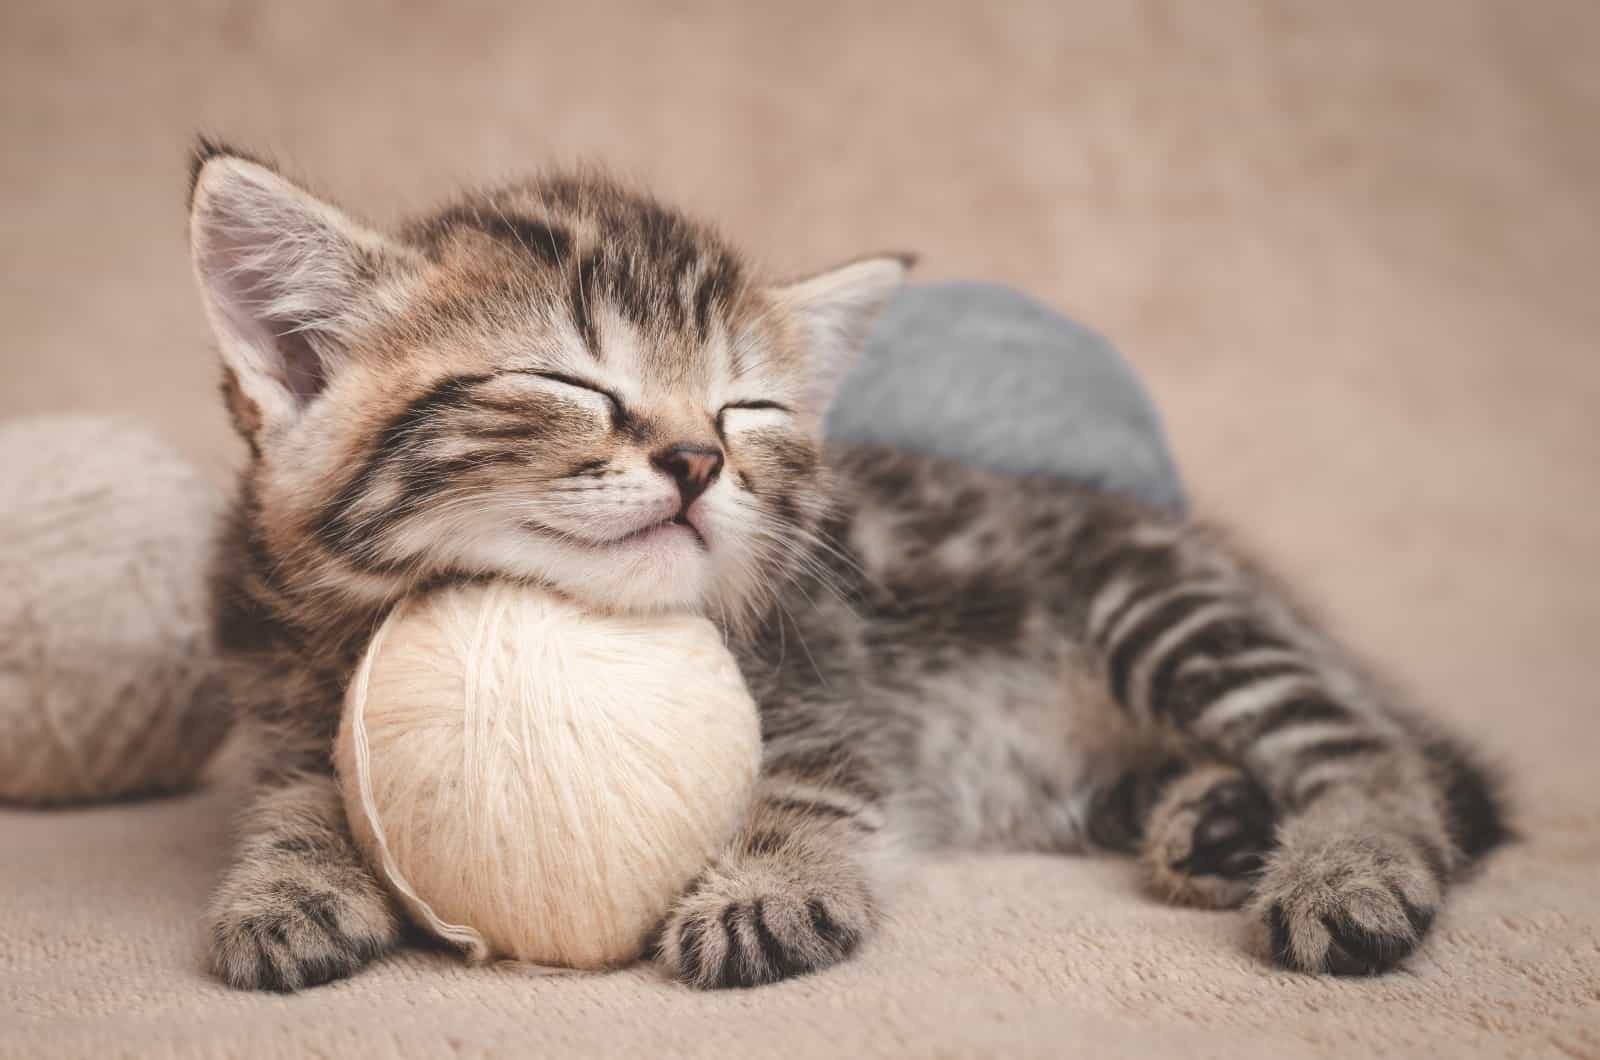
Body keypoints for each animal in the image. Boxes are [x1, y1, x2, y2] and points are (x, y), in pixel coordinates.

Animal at [193, 143, 1504, 999]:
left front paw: (765, 886)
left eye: (747, 409)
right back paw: (1218, 823)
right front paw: (287, 883)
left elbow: (817, 783)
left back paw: (1343, 866)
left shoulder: (836, 677)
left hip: (1168, 610)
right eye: (569, 382)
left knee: (1372, 753)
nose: (697, 458)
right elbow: (301, 792)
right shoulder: (281, 700)